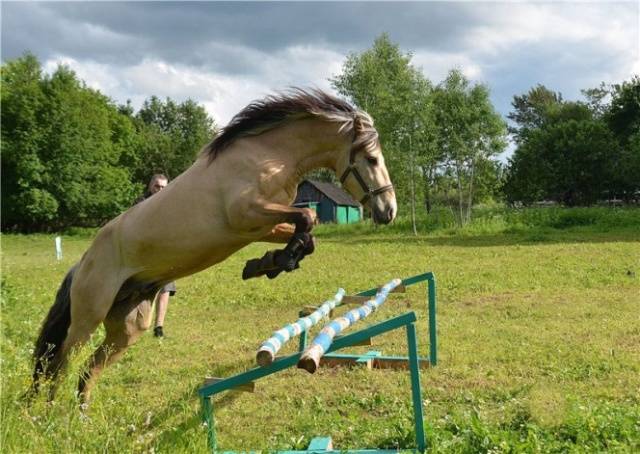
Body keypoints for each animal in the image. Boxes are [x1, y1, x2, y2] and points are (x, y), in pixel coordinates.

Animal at [32, 88, 396, 404]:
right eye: (372, 159)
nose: (389, 211)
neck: (270, 157)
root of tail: (83, 261)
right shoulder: (247, 215)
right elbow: (308, 216)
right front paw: (276, 262)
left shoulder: (260, 226)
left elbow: (309, 231)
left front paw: (268, 263)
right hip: (89, 315)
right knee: (58, 363)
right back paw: (49, 416)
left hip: (127, 326)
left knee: (87, 371)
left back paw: (80, 416)